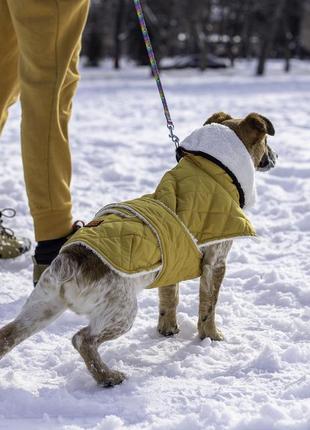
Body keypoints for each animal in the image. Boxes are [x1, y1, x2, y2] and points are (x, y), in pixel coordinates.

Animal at [0, 112, 276, 388]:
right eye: (266, 141)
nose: (275, 156)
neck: (214, 169)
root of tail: (68, 261)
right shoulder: (216, 262)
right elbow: (209, 306)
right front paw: (211, 337)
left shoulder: (174, 258)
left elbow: (169, 299)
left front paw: (168, 330)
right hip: (121, 312)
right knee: (83, 339)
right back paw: (109, 376)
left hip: (42, 306)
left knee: (8, 334)